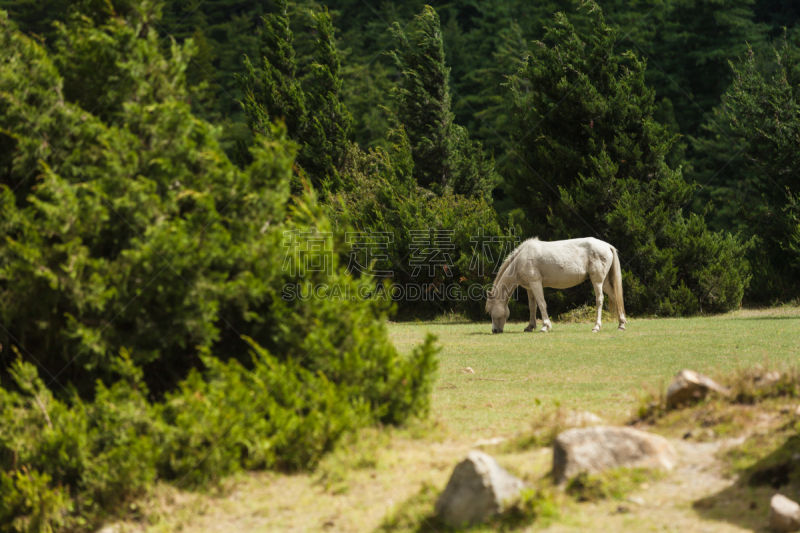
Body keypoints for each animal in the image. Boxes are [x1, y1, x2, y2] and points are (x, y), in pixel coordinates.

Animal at [484, 237, 628, 332]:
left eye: (490, 311)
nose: (494, 331)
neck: (522, 259)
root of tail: (607, 246)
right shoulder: (530, 287)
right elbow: (532, 306)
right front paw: (530, 326)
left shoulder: (536, 283)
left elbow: (542, 304)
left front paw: (545, 326)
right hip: (604, 283)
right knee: (615, 297)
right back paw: (621, 324)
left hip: (597, 281)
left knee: (599, 300)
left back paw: (596, 326)